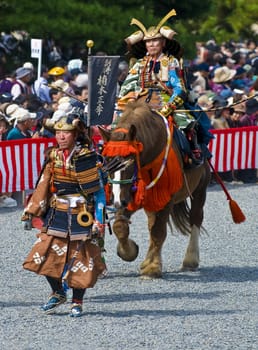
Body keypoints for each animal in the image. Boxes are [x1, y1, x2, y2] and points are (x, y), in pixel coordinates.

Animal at [100, 101, 211, 278]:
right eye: (107, 160)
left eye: (130, 161)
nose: (116, 200)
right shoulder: (130, 197)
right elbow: (120, 226)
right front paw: (129, 251)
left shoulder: (165, 197)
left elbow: (158, 231)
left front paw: (152, 267)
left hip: (200, 187)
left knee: (196, 217)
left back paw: (190, 259)